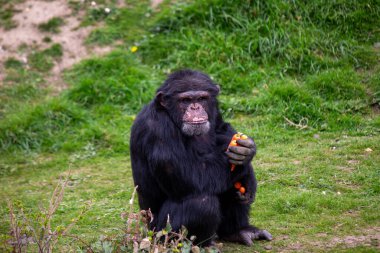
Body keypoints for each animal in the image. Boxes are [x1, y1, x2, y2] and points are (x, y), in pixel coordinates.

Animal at [129, 68, 272, 245]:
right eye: (185, 100)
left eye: (202, 98)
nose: (195, 107)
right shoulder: (158, 129)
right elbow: (193, 176)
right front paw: (246, 163)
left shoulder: (214, 110)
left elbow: (220, 128)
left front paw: (247, 157)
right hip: (159, 233)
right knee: (202, 202)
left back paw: (239, 231)